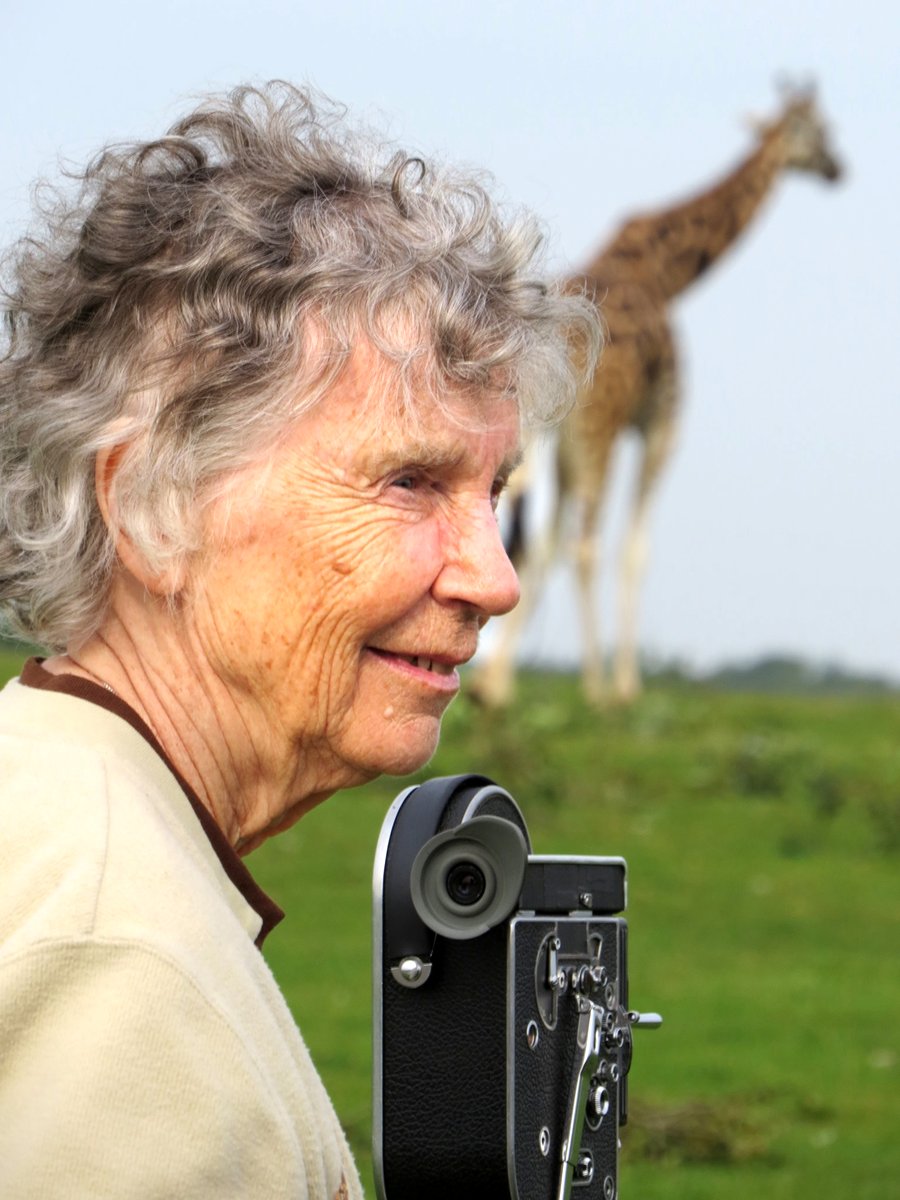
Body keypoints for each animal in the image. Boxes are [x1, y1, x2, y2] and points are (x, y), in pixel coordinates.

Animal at [473, 83, 842, 707]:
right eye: (819, 130)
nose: (839, 169)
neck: (667, 275)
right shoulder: (658, 421)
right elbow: (635, 549)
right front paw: (626, 686)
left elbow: (540, 547)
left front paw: (499, 683)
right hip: (590, 433)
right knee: (581, 544)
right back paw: (595, 688)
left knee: (530, 540)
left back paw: (497, 686)